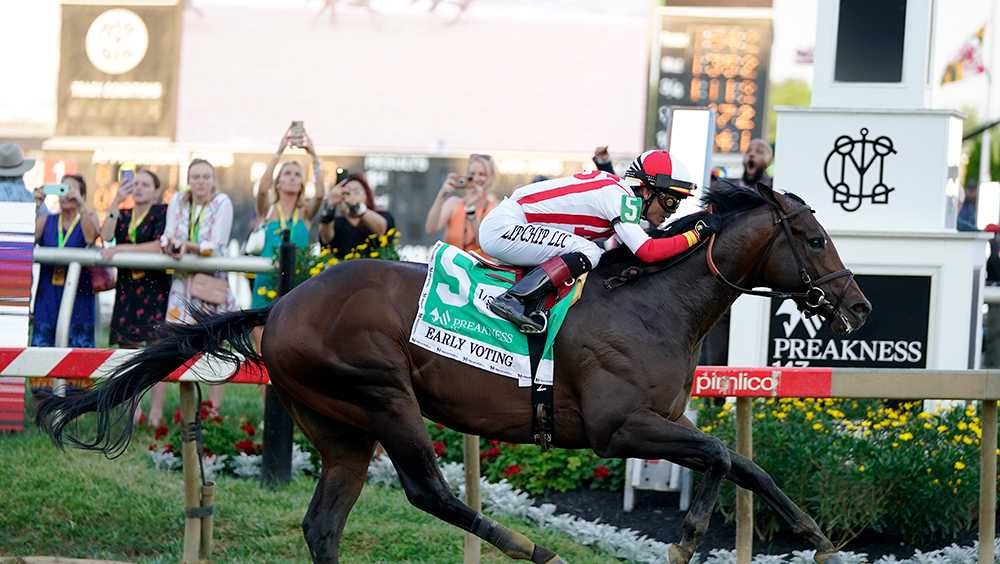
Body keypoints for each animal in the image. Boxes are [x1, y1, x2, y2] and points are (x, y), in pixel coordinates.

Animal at [39, 182, 868, 564]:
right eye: (816, 239)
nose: (858, 307)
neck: (653, 303)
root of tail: (280, 306)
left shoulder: (665, 421)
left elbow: (743, 464)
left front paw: (816, 537)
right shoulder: (618, 429)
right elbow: (726, 456)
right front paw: (690, 539)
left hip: (338, 427)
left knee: (324, 522)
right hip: (380, 393)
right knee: (428, 492)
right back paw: (533, 547)